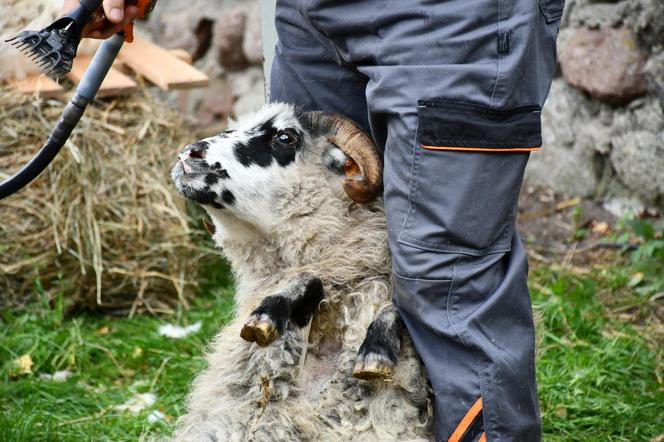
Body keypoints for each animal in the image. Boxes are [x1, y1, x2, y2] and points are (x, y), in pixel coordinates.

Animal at [169, 102, 434, 440]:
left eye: (285, 137)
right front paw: (267, 314)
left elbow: (400, 305)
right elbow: (309, 280)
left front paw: (376, 350)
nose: (188, 153)